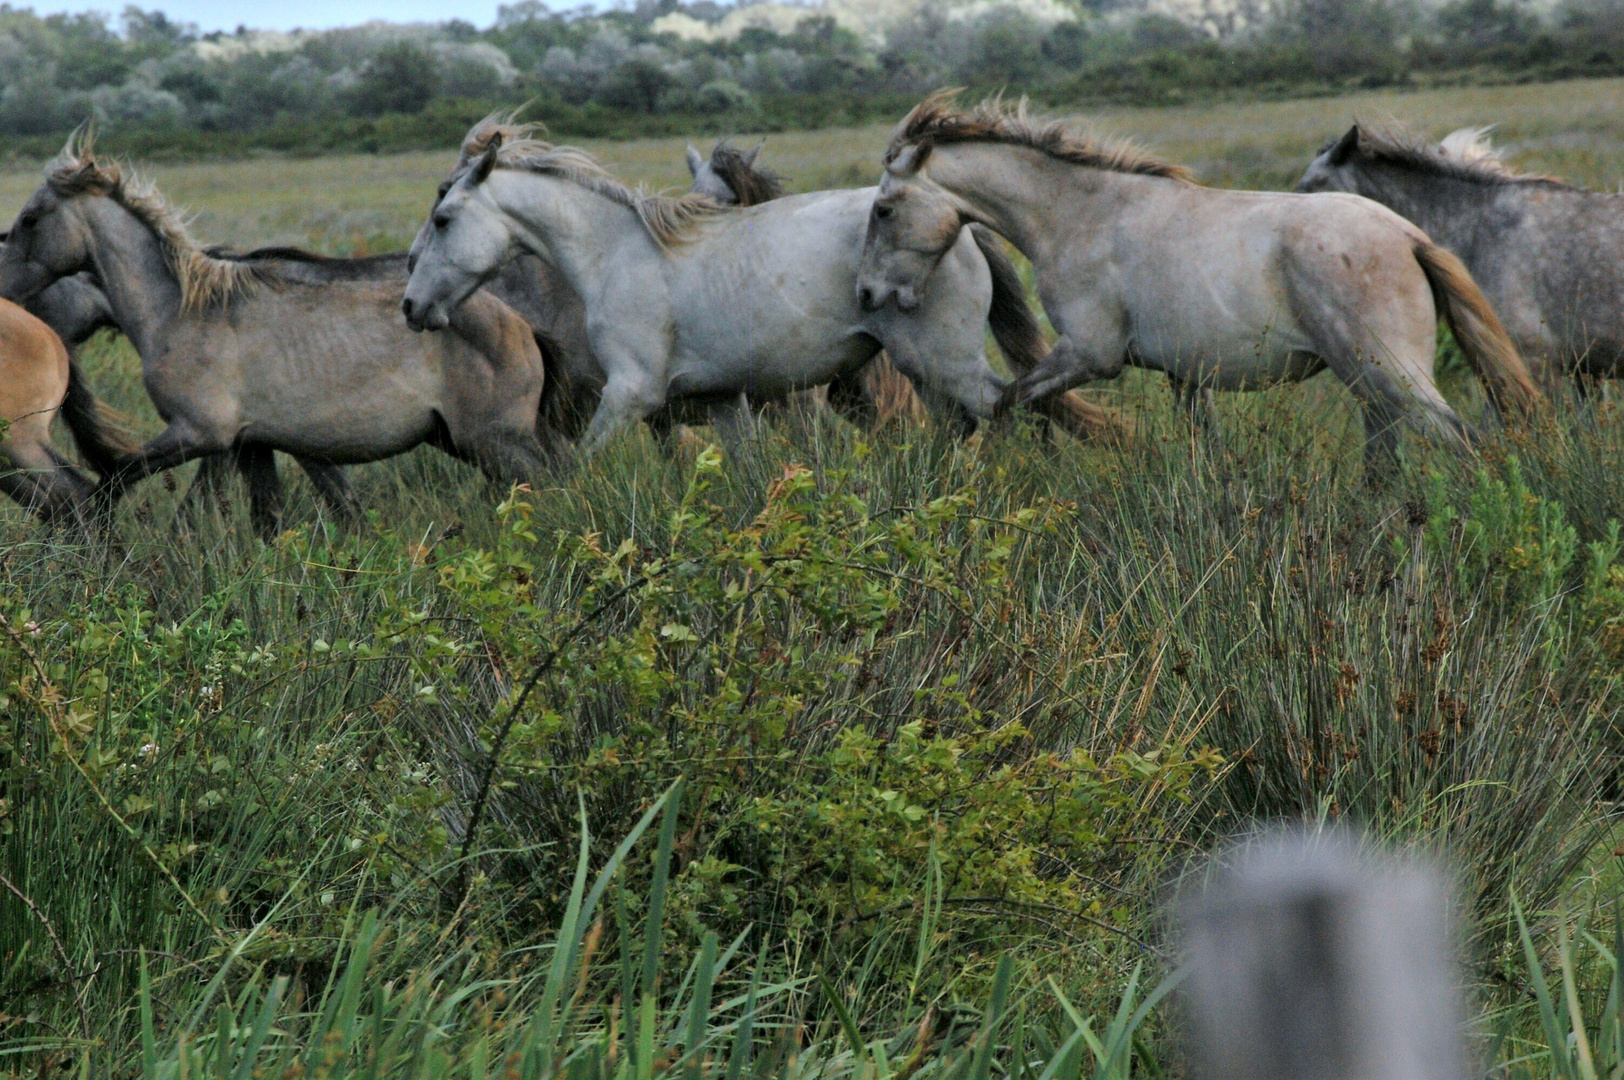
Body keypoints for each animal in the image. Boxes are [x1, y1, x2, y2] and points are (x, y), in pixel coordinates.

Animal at [402, 120, 1013, 451]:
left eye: (443, 219)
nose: (411, 305)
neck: (615, 253)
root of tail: (959, 222)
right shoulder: (723, 400)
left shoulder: (630, 395)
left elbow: (583, 467)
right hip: (923, 373)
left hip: (944, 363)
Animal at [850, 92, 1546, 464]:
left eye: (883, 208)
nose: (867, 294)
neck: (1083, 215)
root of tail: (1410, 238)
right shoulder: (1185, 375)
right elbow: (1198, 448)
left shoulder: (1089, 355)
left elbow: (1013, 401)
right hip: (1372, 386)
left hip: (1391, 377)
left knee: (1466, 445)